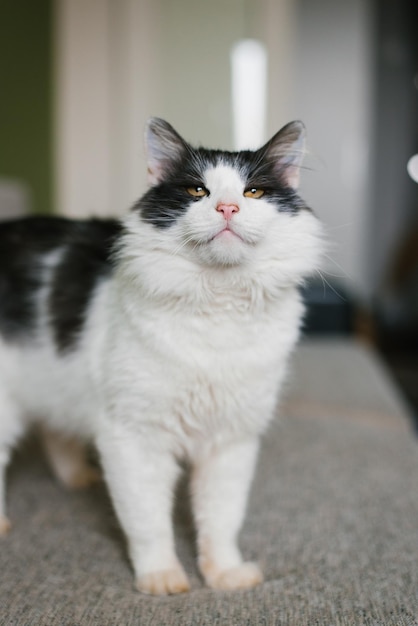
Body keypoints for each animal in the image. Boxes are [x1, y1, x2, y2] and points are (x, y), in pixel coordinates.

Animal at [0, 119, 324, 592]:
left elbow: (222, 518)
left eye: (253, 192)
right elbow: (148, 521)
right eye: (196, 191)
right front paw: (162, 578)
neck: (219, 310)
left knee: (55, 431)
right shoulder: (134, 439)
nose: (228, 208)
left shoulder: (232, 441)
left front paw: (224, 573)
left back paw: (78, 478)